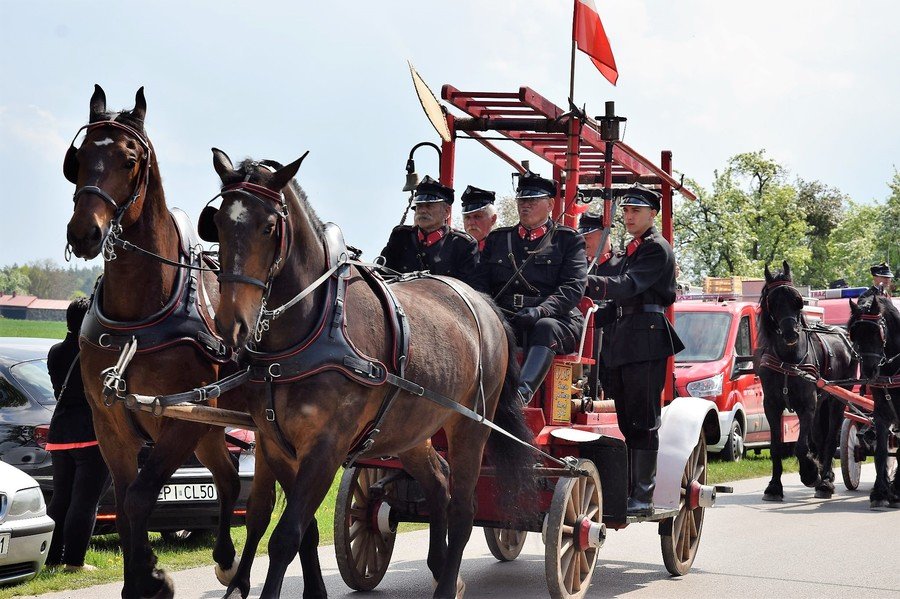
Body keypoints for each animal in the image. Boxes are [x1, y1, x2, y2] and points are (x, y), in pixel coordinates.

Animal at [62, 85, 324, 599]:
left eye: (129, 160)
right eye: (79, 158)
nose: (85, 233)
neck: (139, 315)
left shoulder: (181, 419)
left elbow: (140, 497)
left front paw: (151, 577)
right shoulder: (111, 423)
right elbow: (127, 501)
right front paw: (143, 576)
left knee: (259, 501)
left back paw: (237, 568)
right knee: (231, 480)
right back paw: (230, 566)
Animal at [206, 151, 536, 599]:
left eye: (269, 226)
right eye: (220, 223)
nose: (232, 324)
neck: (311, 328)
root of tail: (484, 303)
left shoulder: (325, 447)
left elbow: (286, 537)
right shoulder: (275, 444)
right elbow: (300, 529)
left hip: (471, 426)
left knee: (463, 510)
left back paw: (447, 580)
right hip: (411, 429)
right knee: (439, 484)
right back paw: (440, 567)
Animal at [756, 262, 856, 502]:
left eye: (797, 300)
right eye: (773, 301)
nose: (791, 333)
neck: (788, 359)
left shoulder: (807, 406)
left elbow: (801, 446)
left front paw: (810, 473)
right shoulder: (771, 406)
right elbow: (775, 446)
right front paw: (774, 487)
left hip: (837, 399)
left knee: (830, 438)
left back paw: (825, 481)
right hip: (822, 404)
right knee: (820, 438)